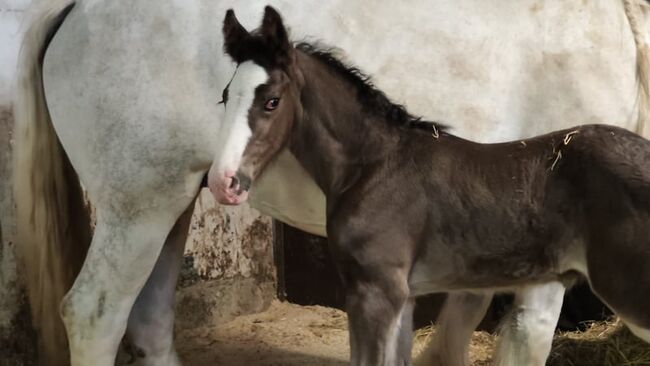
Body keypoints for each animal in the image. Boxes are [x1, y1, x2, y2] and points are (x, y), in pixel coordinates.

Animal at [13, 0, 648, 366]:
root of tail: (72, 11)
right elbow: (523, 338)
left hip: (175, 203)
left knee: (147, 324)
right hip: (137, 206)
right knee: (95, 314)